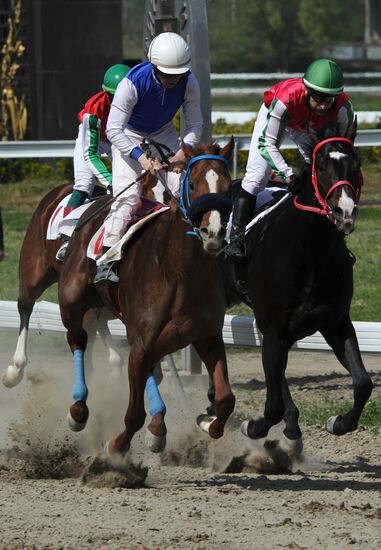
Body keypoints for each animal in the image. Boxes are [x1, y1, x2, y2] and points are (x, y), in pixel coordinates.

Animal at [58, 138, 236, 458]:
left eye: (228, 186)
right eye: (192, 183)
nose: (213, 233)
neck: (179, 272)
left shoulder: (208, 336)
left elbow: (226, 399)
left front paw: (206, 420)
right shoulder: (141, 343)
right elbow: (133, 413)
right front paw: (116, 445)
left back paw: (158, 427)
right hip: (72, 300)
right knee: (77, 339)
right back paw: (78, 410)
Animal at [217, 123, 372, 460]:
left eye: (355, 165)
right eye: (322, 166)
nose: (345, 211)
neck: (310, 252)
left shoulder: (335, 322)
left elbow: (363, 383)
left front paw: (337, 423)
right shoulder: (275, 328)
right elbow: (272, 403)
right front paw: (253, 426)